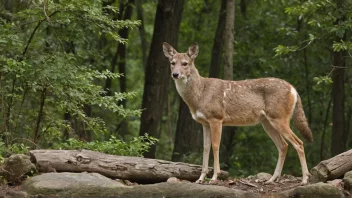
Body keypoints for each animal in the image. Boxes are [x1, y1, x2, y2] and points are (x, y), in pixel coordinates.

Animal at [162, 42, 314, 186]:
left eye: (185, 63)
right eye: (172, 63)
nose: (175, 74)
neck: (200, 95)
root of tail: (293, 89)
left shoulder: (216, 118)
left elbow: (215, 146)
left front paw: (214, 177)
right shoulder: (204, 123)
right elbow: (205, 148)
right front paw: (200, 179)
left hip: (279, 118)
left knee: (299, 143)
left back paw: (305, 179)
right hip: (267, 123)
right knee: (283, 146)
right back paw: (271, 179)